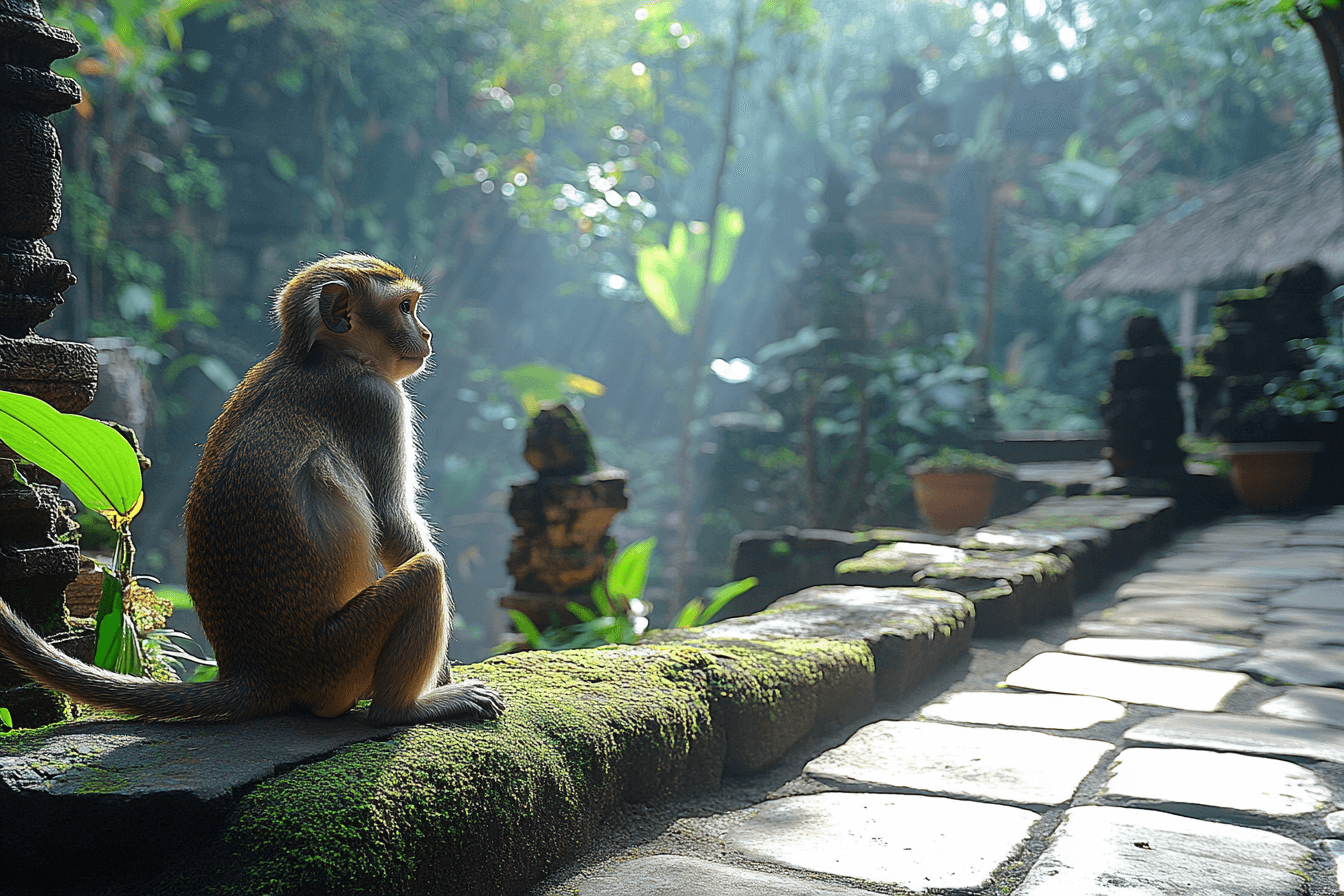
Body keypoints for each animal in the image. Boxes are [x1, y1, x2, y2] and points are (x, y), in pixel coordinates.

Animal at [0, 253, 505, 730]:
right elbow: (393, 521)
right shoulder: (377, 403)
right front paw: (444, 675)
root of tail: (255, 672)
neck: (322, 355)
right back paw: (402, 709)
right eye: (404, 308)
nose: (427, 334)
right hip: (338, 660)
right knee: (426, 574)